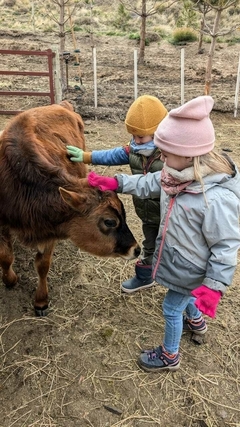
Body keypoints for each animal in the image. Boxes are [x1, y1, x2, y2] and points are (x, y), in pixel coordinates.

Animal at [0, 102, 141, 316]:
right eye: (110, 221)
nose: (137, 249)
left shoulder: (52, 227)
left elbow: (42, 264)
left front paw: (41, 300)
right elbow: (6, 257)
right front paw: (10, 279)